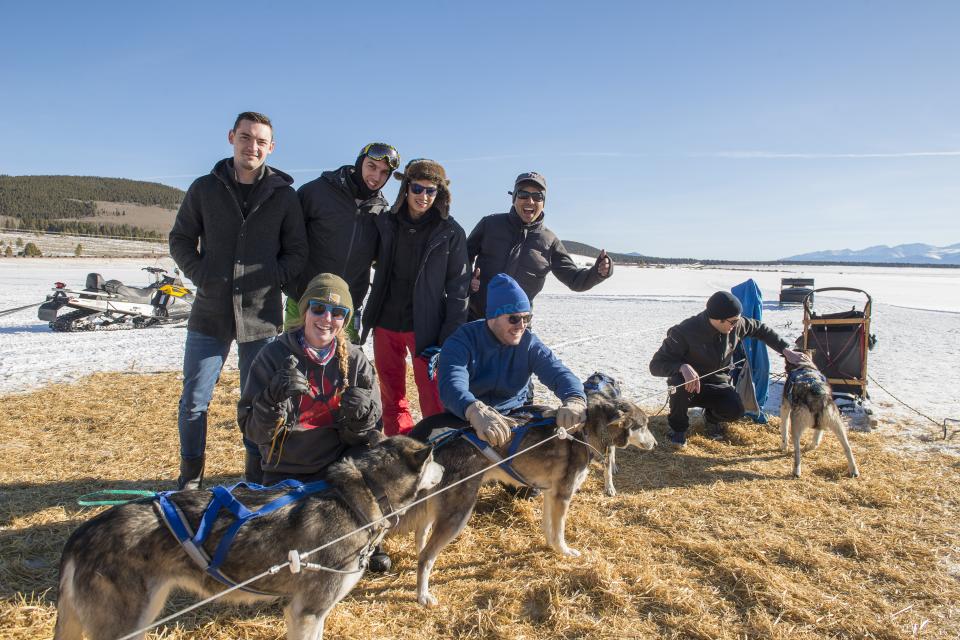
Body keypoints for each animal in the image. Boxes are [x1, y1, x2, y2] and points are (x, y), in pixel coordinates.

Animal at [59, 438, 446, 640]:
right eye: (432, 462)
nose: (444, 469)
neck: (359, 497)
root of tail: (81, 534)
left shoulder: (311, 613)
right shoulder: (307, 611)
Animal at [396, 392, 652, 608]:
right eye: (643, 425)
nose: (655, 443)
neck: (584, 431)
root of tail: (436, 448)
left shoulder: (551, 494)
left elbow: (550, 528)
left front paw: (551, 547)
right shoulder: (563, 495)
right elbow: (560, 531)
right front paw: (565, 552)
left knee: (421, 536)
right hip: (458, 514)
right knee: (426, 557)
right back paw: (423, 595)